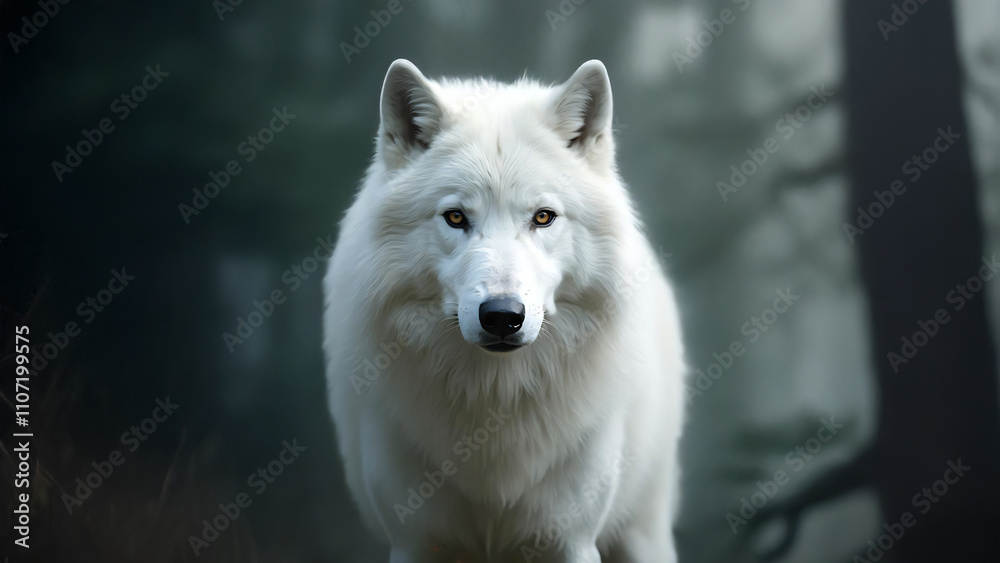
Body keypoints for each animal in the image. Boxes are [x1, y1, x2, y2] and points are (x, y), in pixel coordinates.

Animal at [323, 59, 686, 562]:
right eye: (456, 217)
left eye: (543, 217)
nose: (501, 316)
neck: (494, 402)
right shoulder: (415, 541)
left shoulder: (571, 541)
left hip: (643, 535)